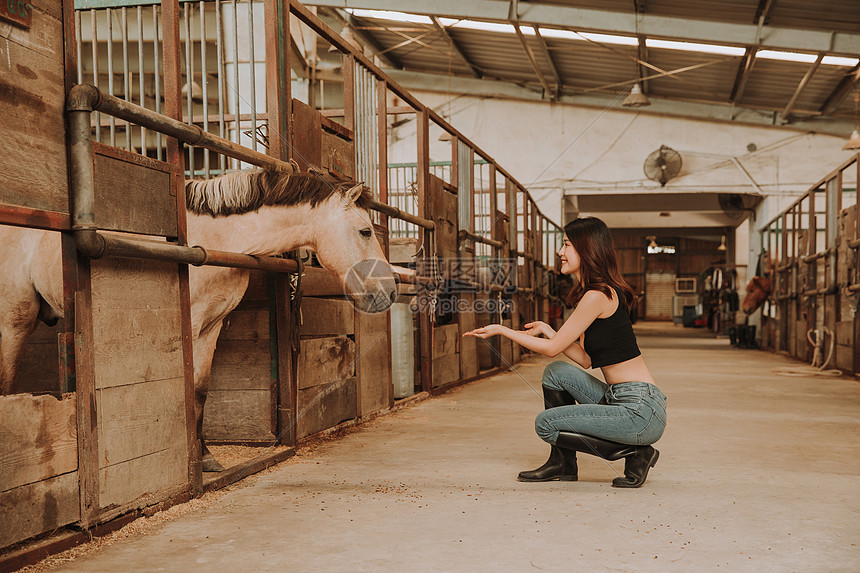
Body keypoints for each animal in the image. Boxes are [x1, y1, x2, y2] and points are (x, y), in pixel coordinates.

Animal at [0, 168, 396, 472]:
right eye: (365, 231)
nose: (390, 293)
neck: (218, 240)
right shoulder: (188, 324)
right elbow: (186, 388)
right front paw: (191, 461)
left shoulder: (211, 326)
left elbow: (201, 389)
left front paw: (205, 457)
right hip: (14, 319)